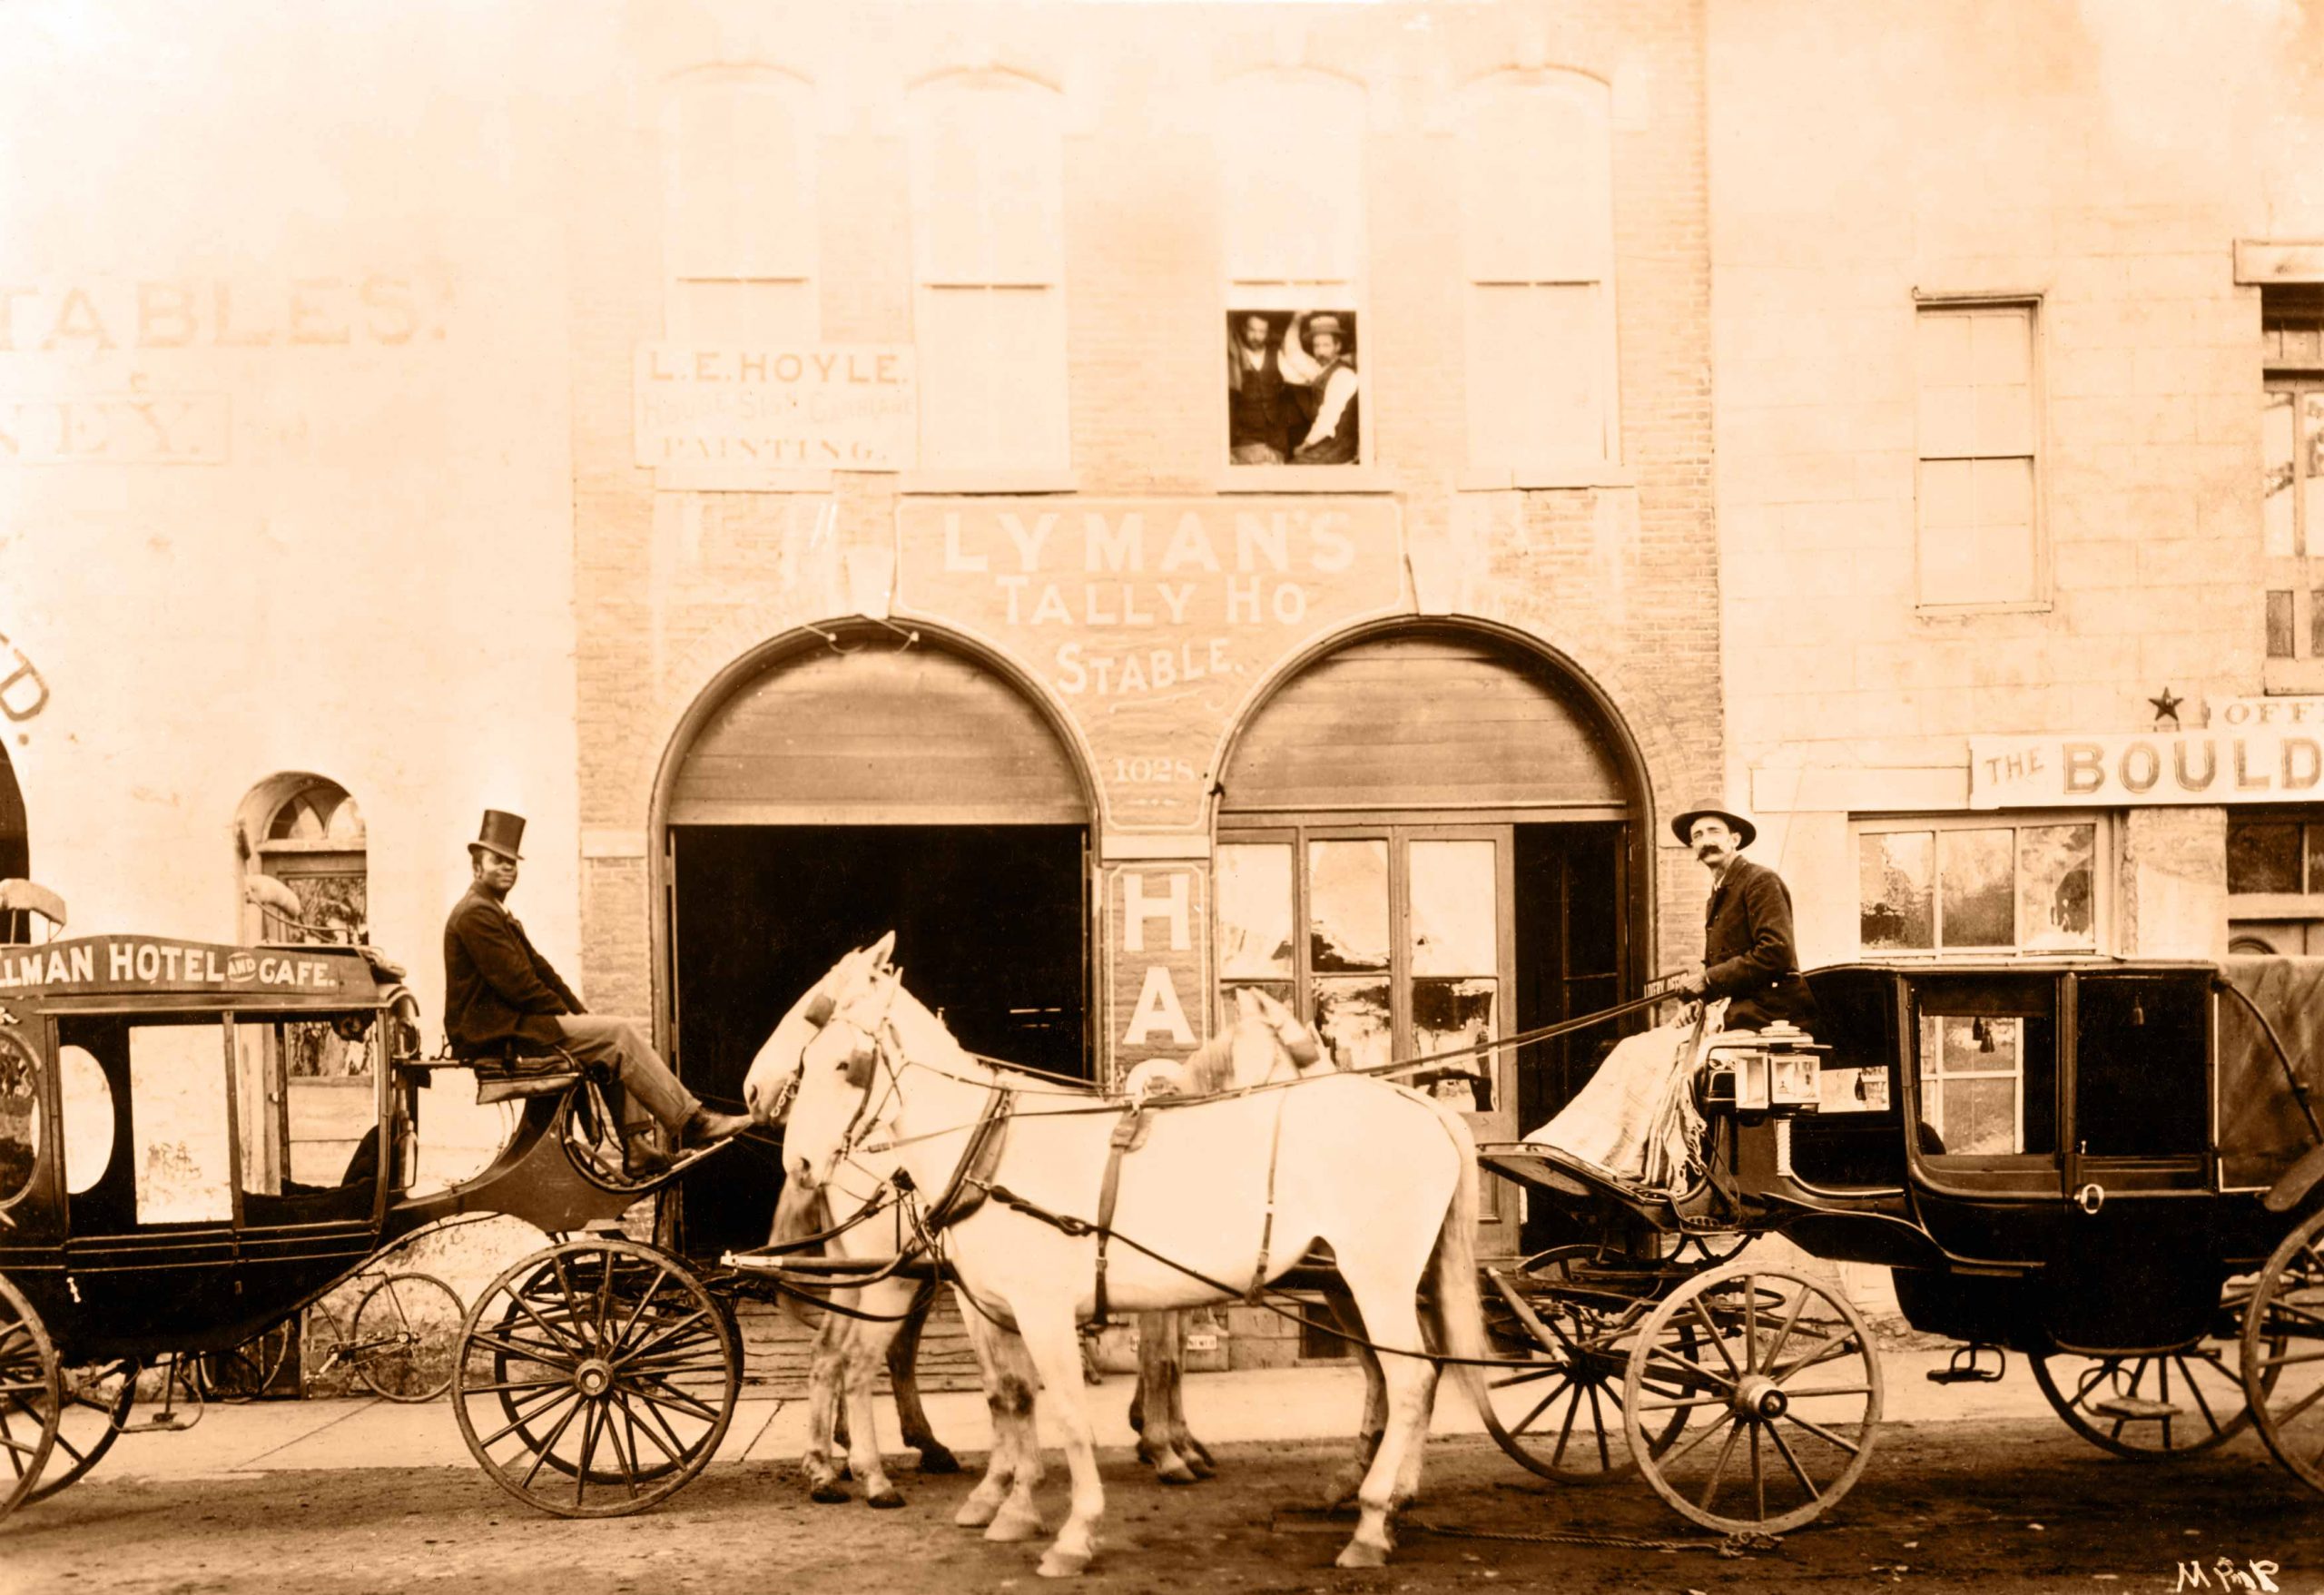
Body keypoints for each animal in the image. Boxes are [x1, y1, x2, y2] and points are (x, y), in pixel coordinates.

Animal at [757, 933, 1490, 1577]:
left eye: (844, 1064)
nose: (800, 1160)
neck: (990, 1146)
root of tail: (1422, 1106)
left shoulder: (1047, 1310)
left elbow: (1073, 1413)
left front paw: (1077, 1531)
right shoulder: (994, 1306)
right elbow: (1013, 1397)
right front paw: (1015, 1507)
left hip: (1374, 1280)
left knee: (1410, 1380)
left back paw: (1371, 1519)